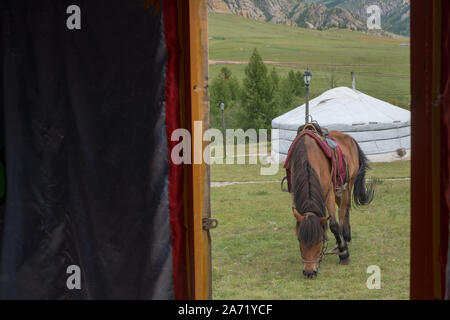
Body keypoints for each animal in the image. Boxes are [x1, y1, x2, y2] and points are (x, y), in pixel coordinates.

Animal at [288, 129, 372, 278]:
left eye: (320, 240)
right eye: (299, 239)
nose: (309, 272)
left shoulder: (329, 193)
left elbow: (334, 224)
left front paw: (344, 254)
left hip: (347, 185)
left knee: (344, 210)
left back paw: (344, 237)